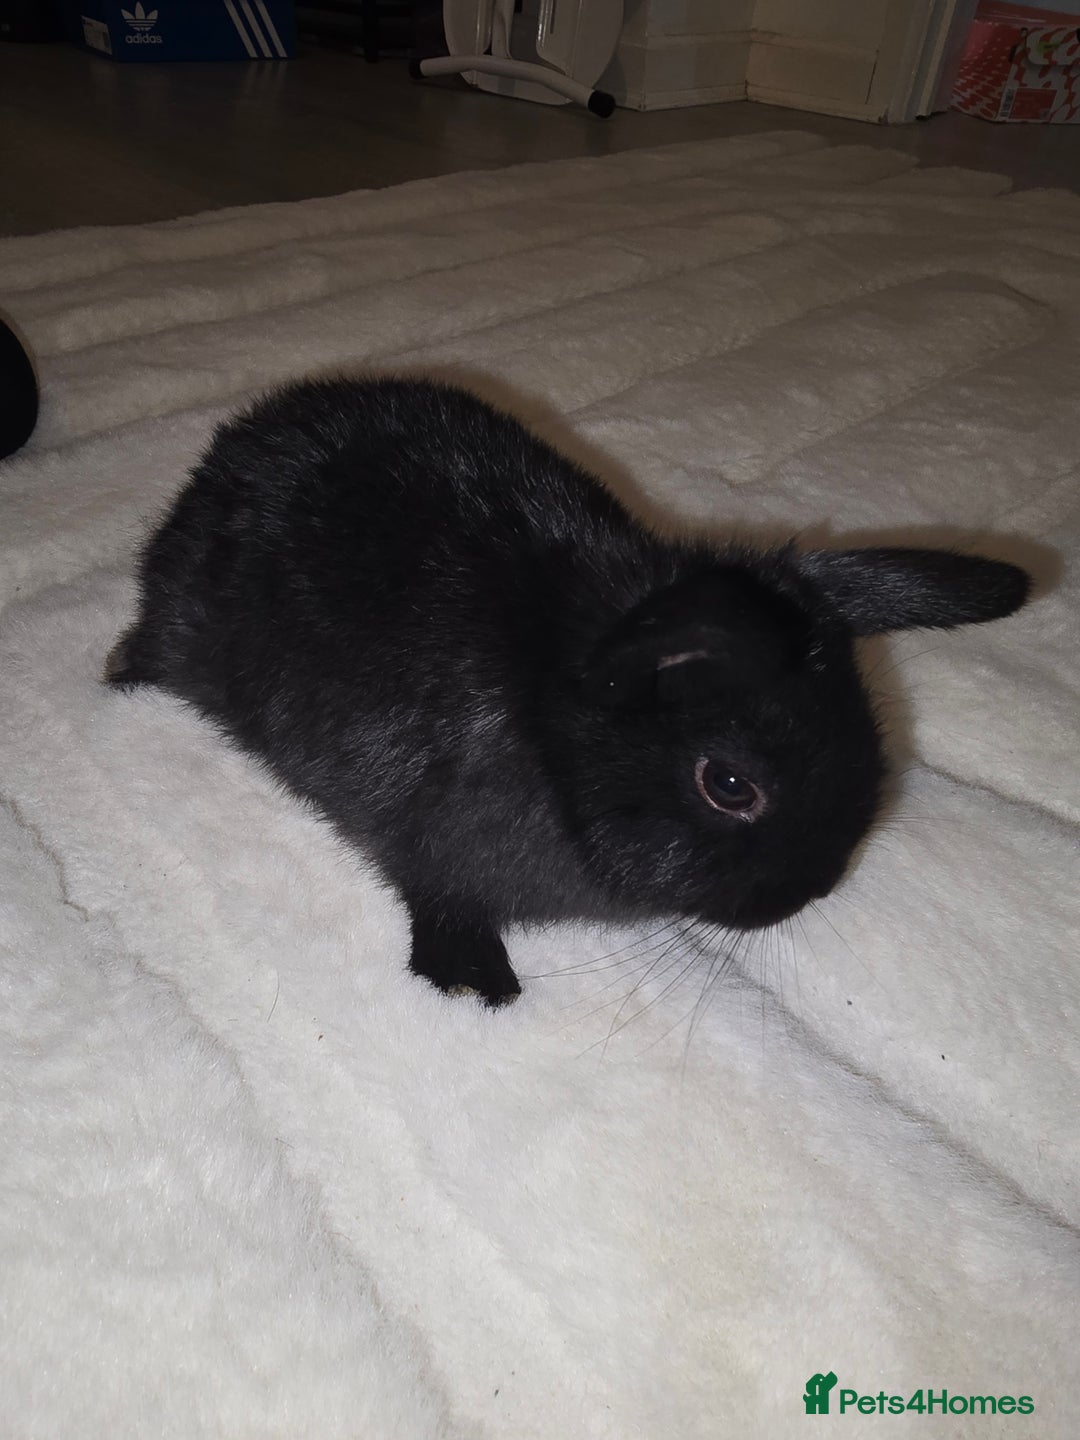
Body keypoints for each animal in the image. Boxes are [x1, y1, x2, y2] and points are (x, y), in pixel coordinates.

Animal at [107, 376, 1031, 1005]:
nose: (813, 889)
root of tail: (229, 448)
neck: (556, 722)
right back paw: (127, 679)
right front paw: (473, 980)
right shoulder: (432, 842)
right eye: (730, 785)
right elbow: (441, 894)